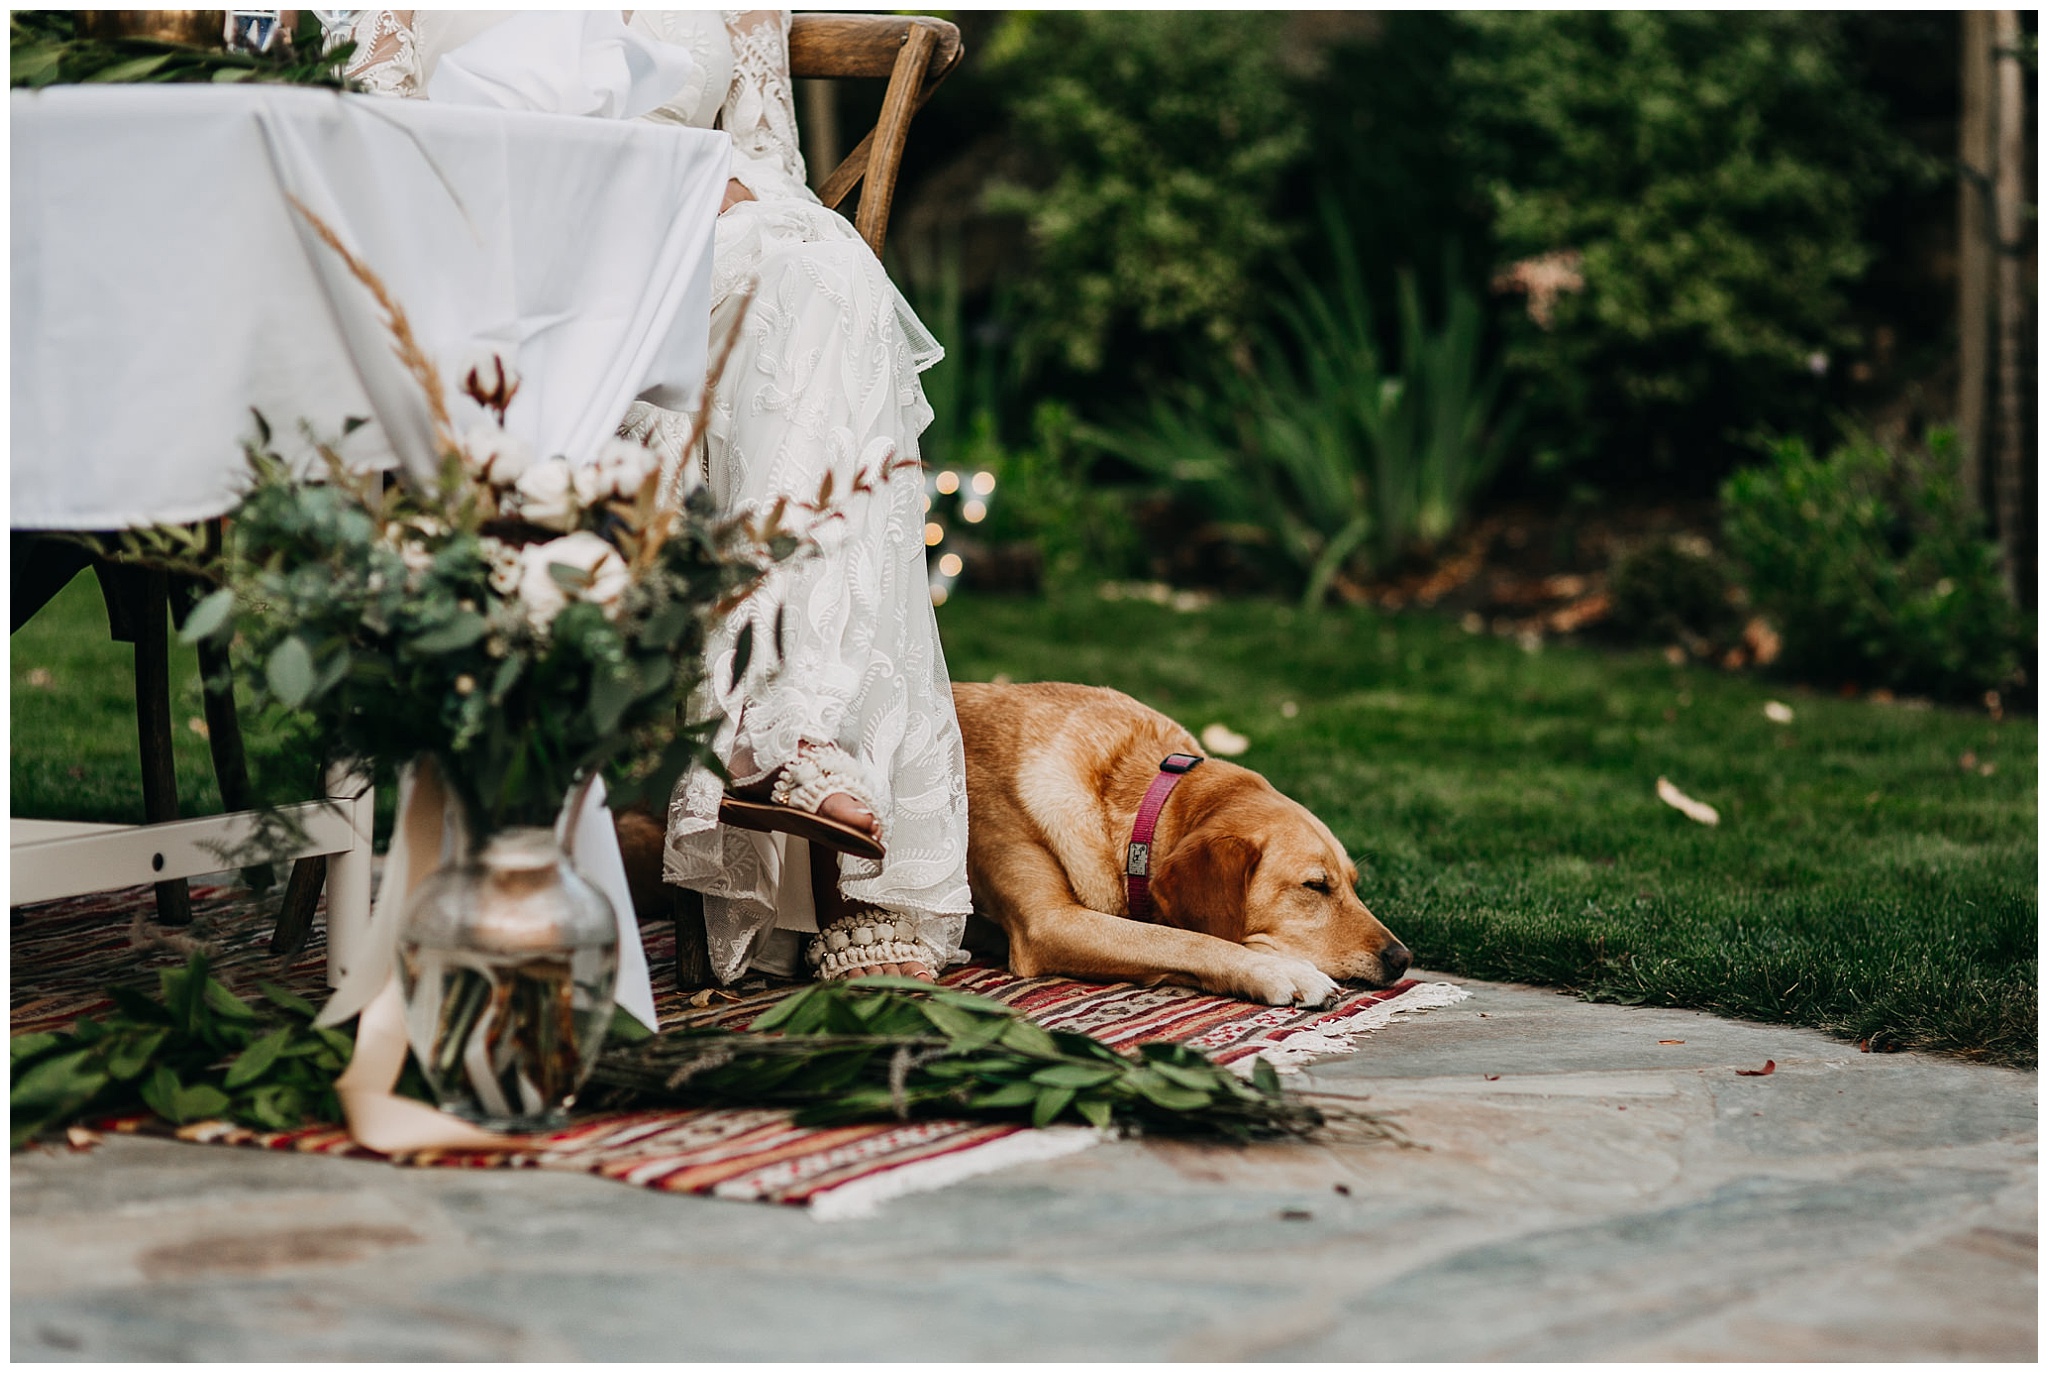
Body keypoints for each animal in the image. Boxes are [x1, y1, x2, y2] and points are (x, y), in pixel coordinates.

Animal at [954, 680, 1409, 1012]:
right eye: (1315, 886)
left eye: (1354, 884)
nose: (1402, 959)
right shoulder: (1049, 923)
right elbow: (1185, 939)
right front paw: (1280, 970)